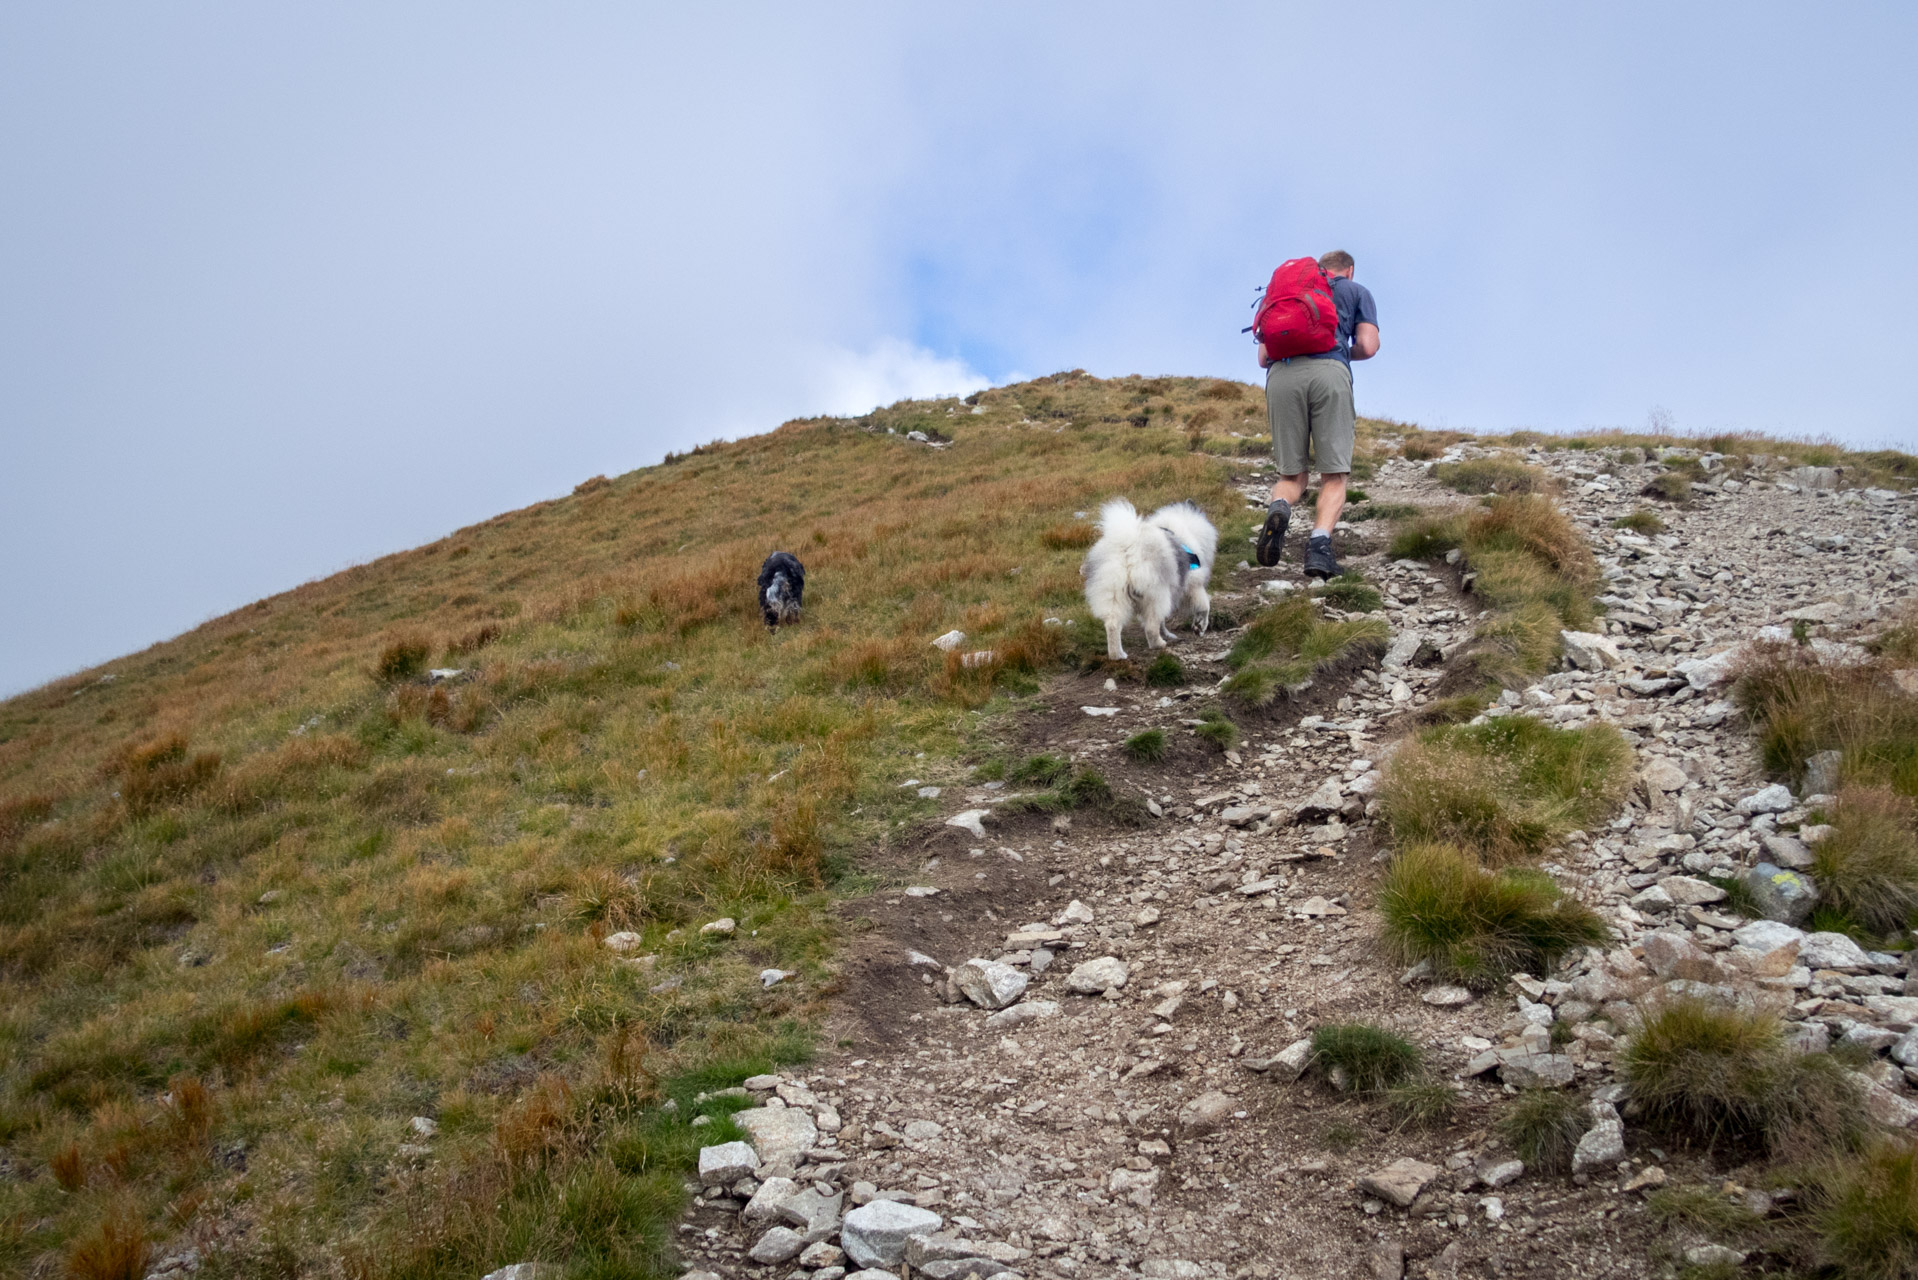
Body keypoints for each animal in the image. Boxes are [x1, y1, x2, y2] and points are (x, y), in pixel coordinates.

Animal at [1081, 498, 1212, 660]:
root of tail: (1128, 547)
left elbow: (1163, 622)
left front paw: (1169, 633)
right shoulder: (1193, 584)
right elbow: (1204, 606)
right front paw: (1200, 627)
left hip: (1113, 592)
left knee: (1112, 625)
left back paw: (1118, 654)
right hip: (1156, 593)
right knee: (1150, 626)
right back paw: (1159, 644)